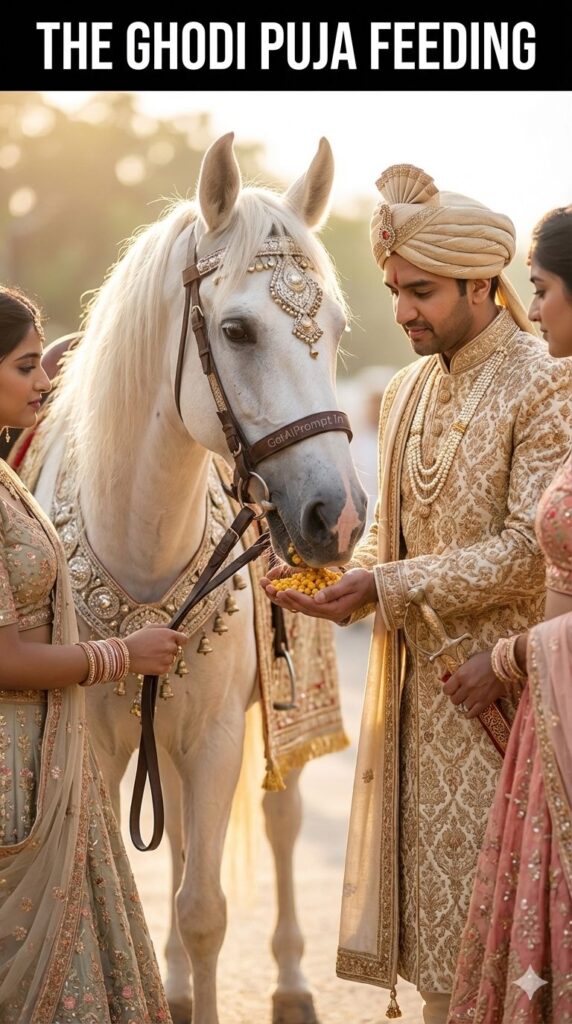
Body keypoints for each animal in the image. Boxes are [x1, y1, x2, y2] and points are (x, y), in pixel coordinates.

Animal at [26, 133, 367, 1024]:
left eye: (337, 328)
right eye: (237, 330)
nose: (338, 516)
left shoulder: (215, 736)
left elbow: (205, 909)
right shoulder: (101, 743)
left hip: (277, 717)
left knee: (279, 819)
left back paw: (291, 983)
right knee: (177, 832)